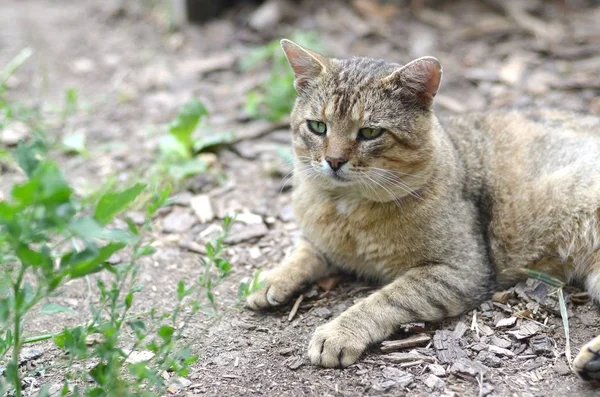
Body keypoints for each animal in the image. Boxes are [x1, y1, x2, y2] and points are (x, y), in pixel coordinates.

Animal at [244, 40, 600, 380]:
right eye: (318, 127)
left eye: (370, 132)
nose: (333, 161)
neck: (348, 210)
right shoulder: (319, 240)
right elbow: (302, 252)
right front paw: (270, 279)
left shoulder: (461, 271)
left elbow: (386, 298)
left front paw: (338, 333)